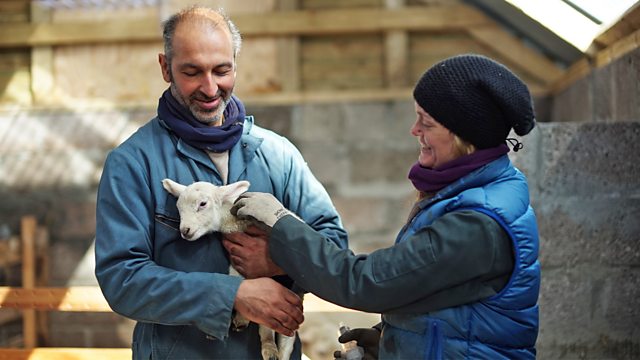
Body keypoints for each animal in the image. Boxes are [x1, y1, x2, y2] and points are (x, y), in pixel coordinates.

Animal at [162, 178, 298, 360]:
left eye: (203, 204)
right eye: (179, 208)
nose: (185, 231)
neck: (231, 221)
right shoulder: (236, 263)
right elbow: (236, 283)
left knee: (286, 338)